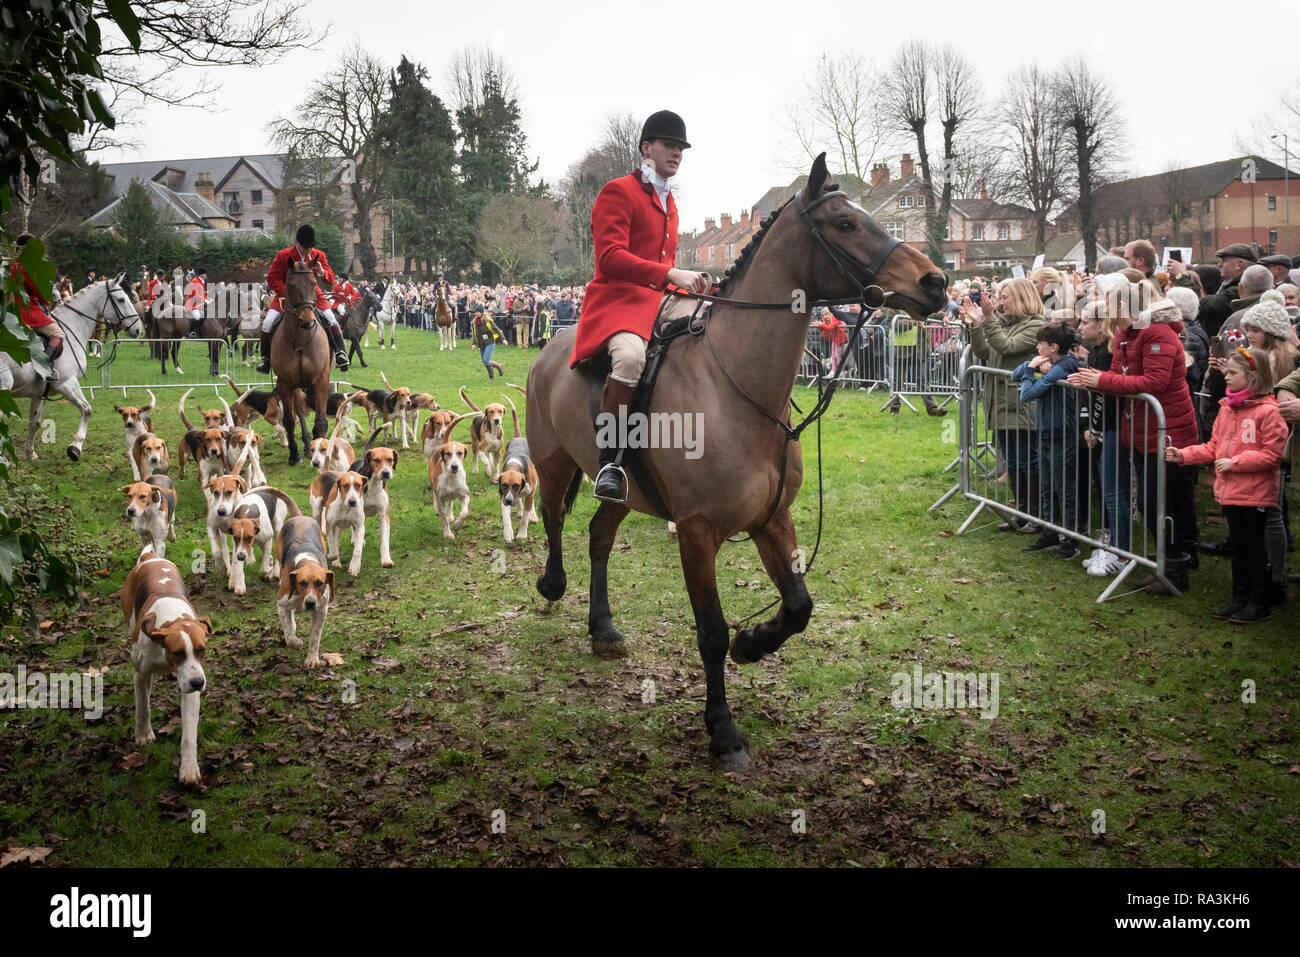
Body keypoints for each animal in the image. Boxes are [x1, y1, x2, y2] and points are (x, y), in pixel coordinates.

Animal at [0, 274, 142, 462]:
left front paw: (30, 454)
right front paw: (75, 448)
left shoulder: (39, 393)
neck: (71, 326)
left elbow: (34, 422)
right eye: (121, 299)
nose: (138, 329)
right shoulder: (66, 383)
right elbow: (87, 410)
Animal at [271, 263, 332, 465]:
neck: (300, 340)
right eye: (291, 284)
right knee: (298, 408)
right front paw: (294, 455)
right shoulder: (284, 383)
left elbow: (321, 420)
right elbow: (289, 420)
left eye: (314, 282)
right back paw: (305, 443)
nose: (307, 321)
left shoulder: (321, 380)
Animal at [522, 155, 951, 769]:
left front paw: (754, 645)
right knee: (555, 517)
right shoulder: (697, 532)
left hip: (628, 493)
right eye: (846, 223)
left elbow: (798, 607)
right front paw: (723, 729)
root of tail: (554, 344)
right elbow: (711, 632)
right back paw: (554, 585)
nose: (936, 282)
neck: (738, 389)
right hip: (554, 459)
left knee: (599, 535)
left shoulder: (773, 519)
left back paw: (602, 628)